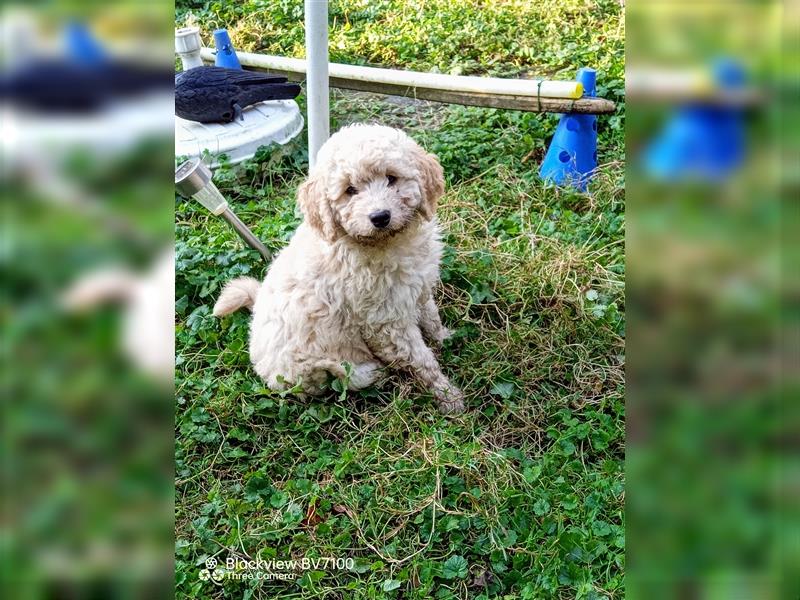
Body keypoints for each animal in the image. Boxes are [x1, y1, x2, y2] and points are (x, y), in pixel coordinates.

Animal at [214, 122, 462, 412]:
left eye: (391, 178)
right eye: (350, 190)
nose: (380, 217)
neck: (385, 243)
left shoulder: (418, 288)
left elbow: (431, 316)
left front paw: (445, 337)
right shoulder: (385, 322)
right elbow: (420, 359)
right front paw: (448, 397)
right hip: (314, 370)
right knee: (342, 378)